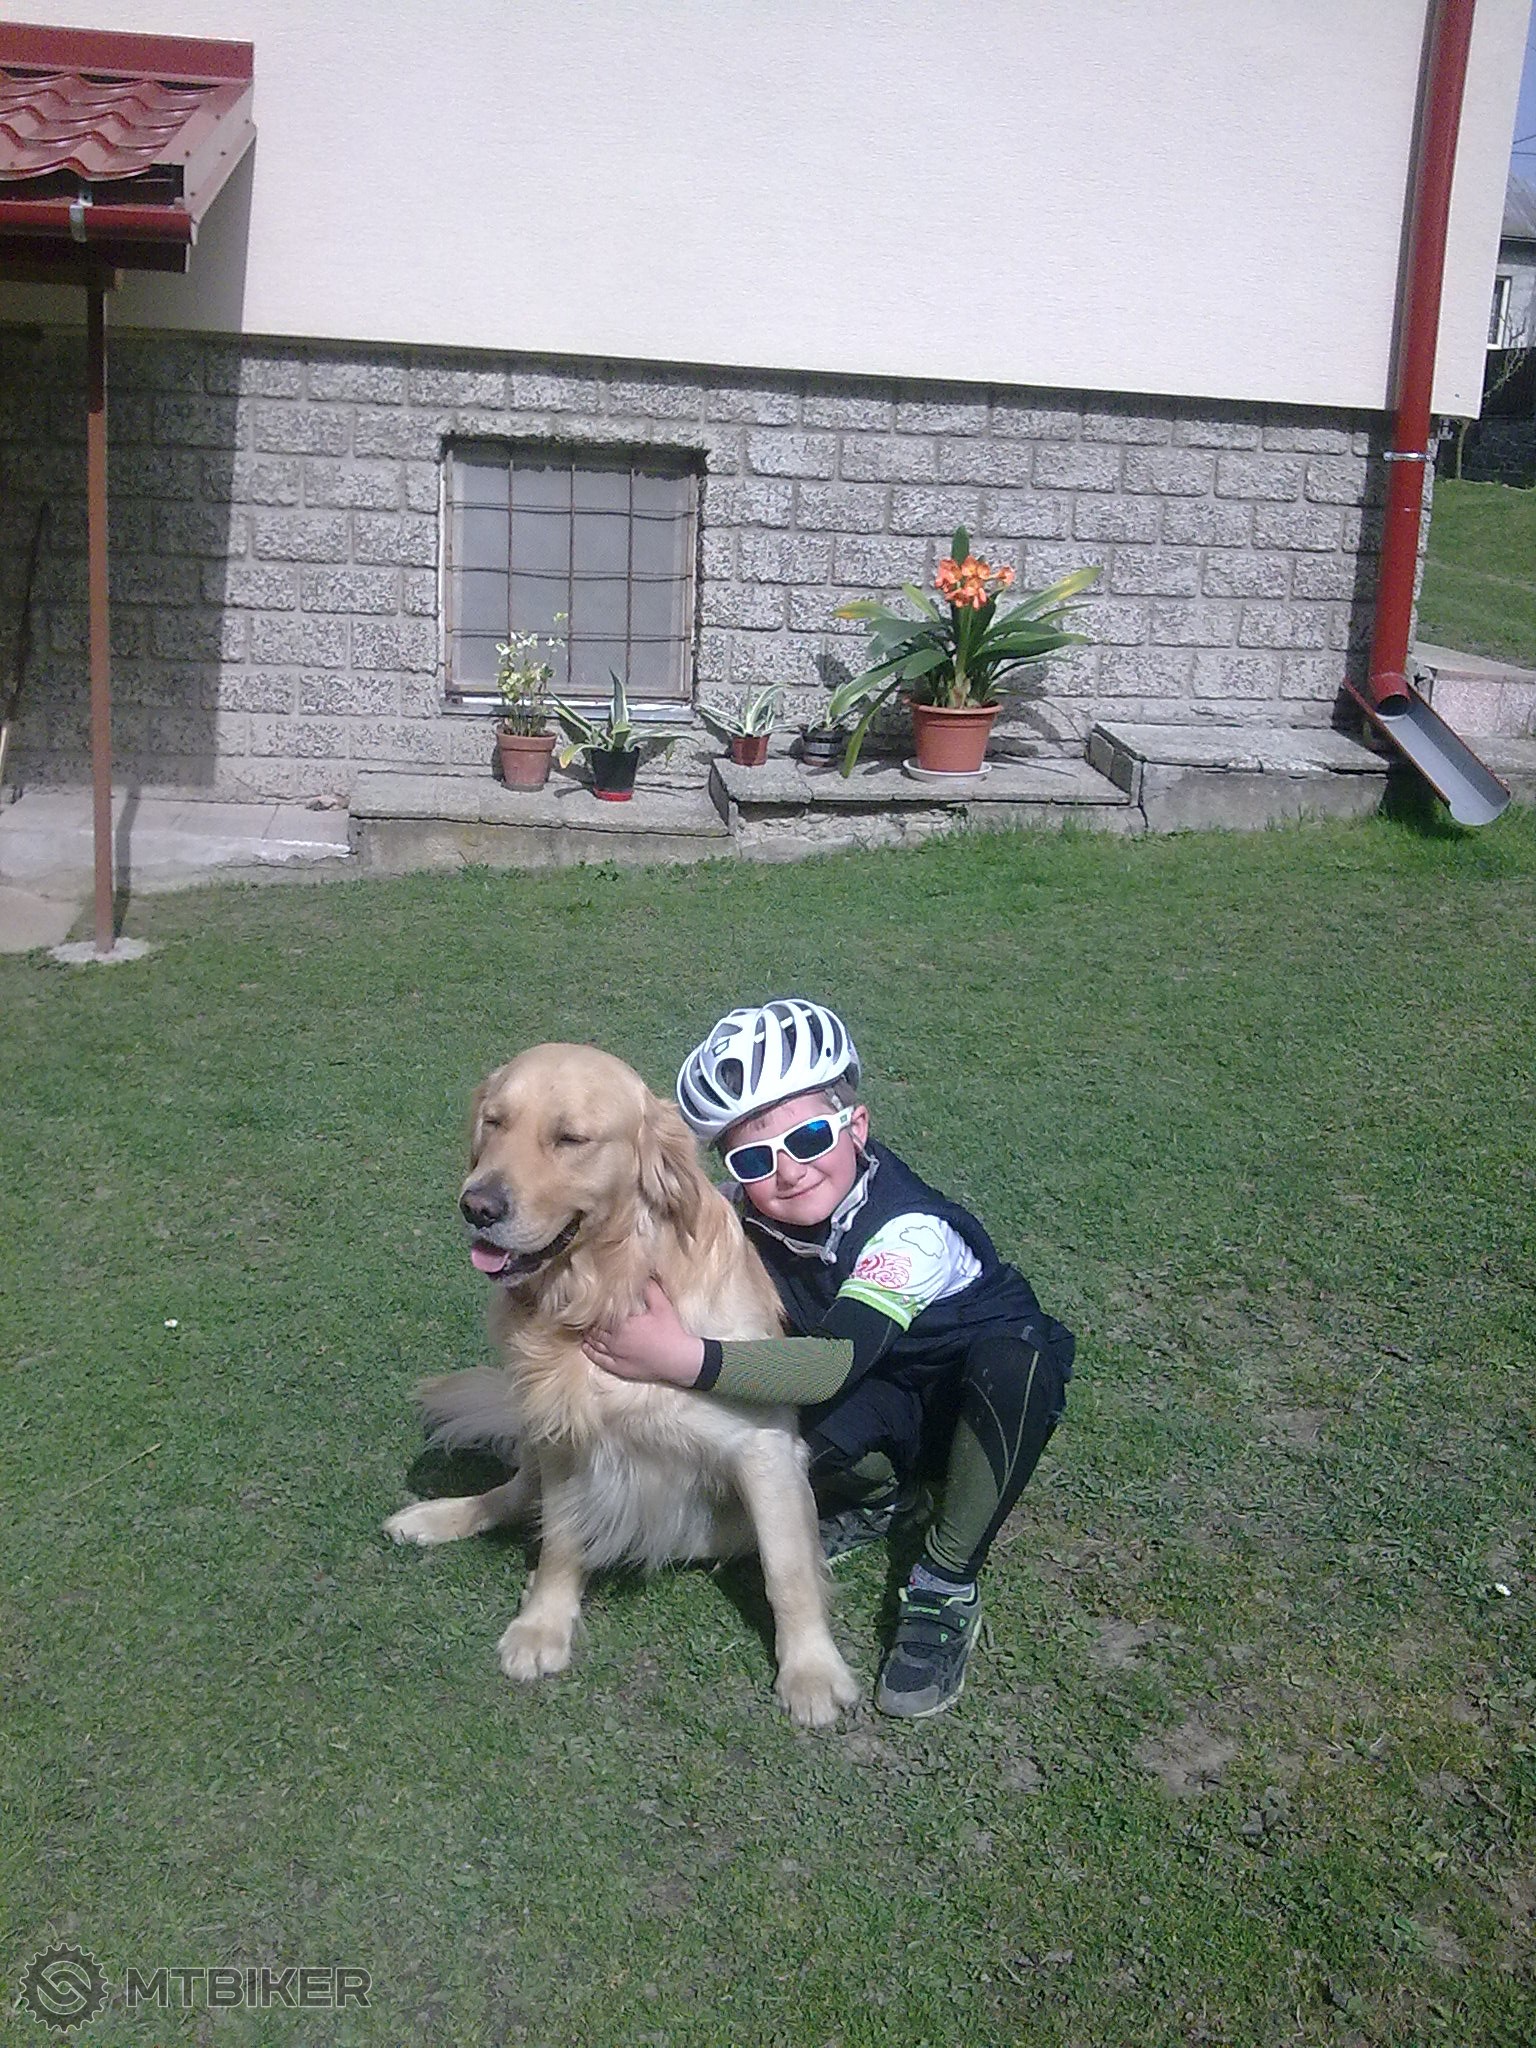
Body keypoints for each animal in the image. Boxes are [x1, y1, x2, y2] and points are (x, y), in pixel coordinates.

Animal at [384, 1043, 859, 1728]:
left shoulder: (765, 1450)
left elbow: (788, 1570)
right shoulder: (564, 1431)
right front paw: (543, 1625)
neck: (607, 1288)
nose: (477, 1206)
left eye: (571, 1139)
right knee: (512, 1494)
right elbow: (559, 1540)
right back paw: (433, 1517)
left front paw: (812, 1671)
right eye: (495, 1122)